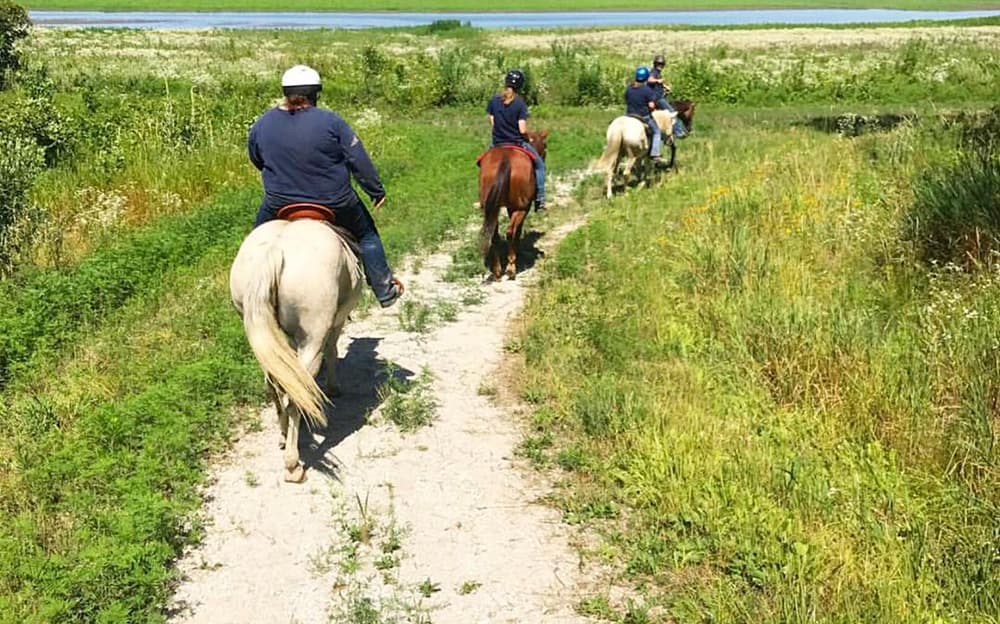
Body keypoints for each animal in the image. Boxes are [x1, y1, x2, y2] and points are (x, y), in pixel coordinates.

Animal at [229, 218, 364, 482]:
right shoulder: (335, 324)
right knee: (296, 395)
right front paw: (333, 388)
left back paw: (282, 436)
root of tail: (275, 251)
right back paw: (293, 465)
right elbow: (332, 351)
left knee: (274, 383)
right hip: (311, 339)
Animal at [476, 130, 548, 282]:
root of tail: (505, 159)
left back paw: (497, 271)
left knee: (494, 235)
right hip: (520, 207)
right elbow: (518, 231)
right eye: (545, 146)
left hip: (492, 208)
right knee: (510, 232)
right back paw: (511, 269)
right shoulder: (521, 208)